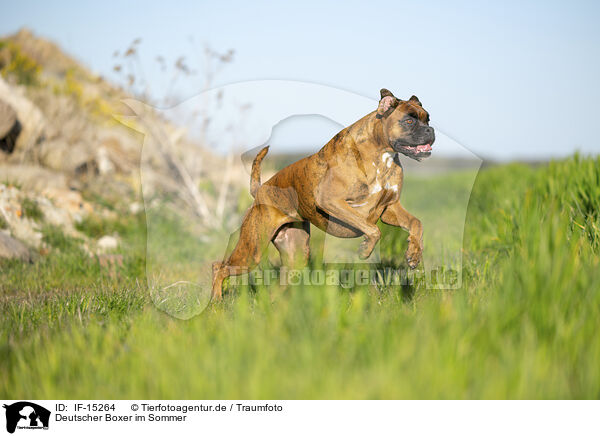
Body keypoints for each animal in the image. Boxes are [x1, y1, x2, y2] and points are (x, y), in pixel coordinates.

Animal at [212, 88, 436, 300]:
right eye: (409, 121)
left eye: (427, 119)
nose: (430, 130)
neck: (381, 154)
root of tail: (260, 190)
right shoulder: (332, 202)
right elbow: (373, 229)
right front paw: (365, 249)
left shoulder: (390, 208)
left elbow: (416, 223)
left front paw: (414, 253)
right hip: (252, 252)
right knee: (219, 267)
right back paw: (216, 302)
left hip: (296, 254)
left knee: (278, 285)